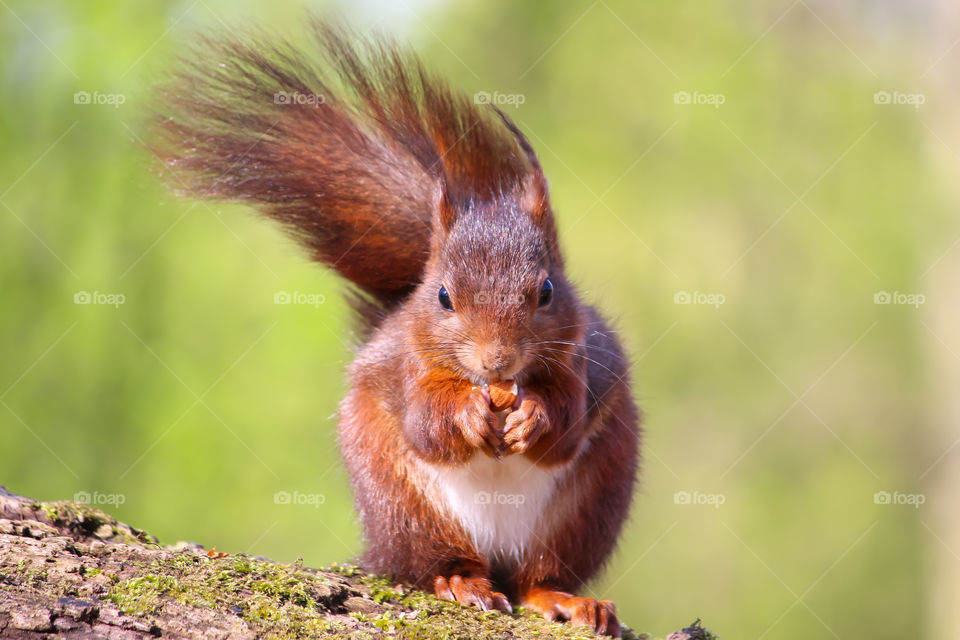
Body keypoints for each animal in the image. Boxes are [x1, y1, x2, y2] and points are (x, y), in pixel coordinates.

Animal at [154, 21, 640, 637]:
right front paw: (467, 413)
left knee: (539, 575)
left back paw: (564, 598)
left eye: (548, 291)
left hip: (588, 503)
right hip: (402, 503)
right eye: (442, 297)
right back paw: (460, 581)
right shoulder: (408, 365)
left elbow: (567, 425)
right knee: (433, 562)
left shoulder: (587, 362)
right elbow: (426, 422)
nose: (497, 361)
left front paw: (534, 415)